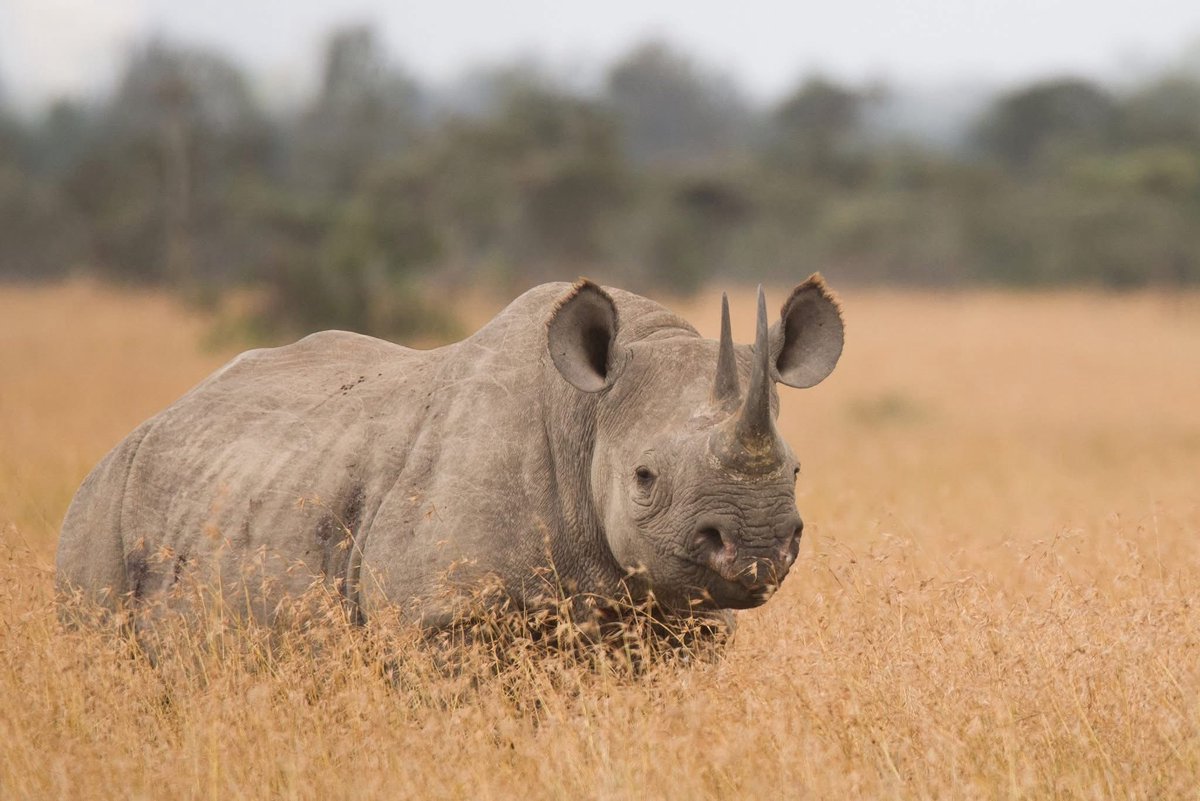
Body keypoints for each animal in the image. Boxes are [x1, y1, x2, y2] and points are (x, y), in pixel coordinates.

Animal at [56, 277, 843, 633]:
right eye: (645, 477)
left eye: (797, 470)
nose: (758, 546)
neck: (586, 417)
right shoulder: (434, 620)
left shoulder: (683, 621)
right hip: (98, 513)